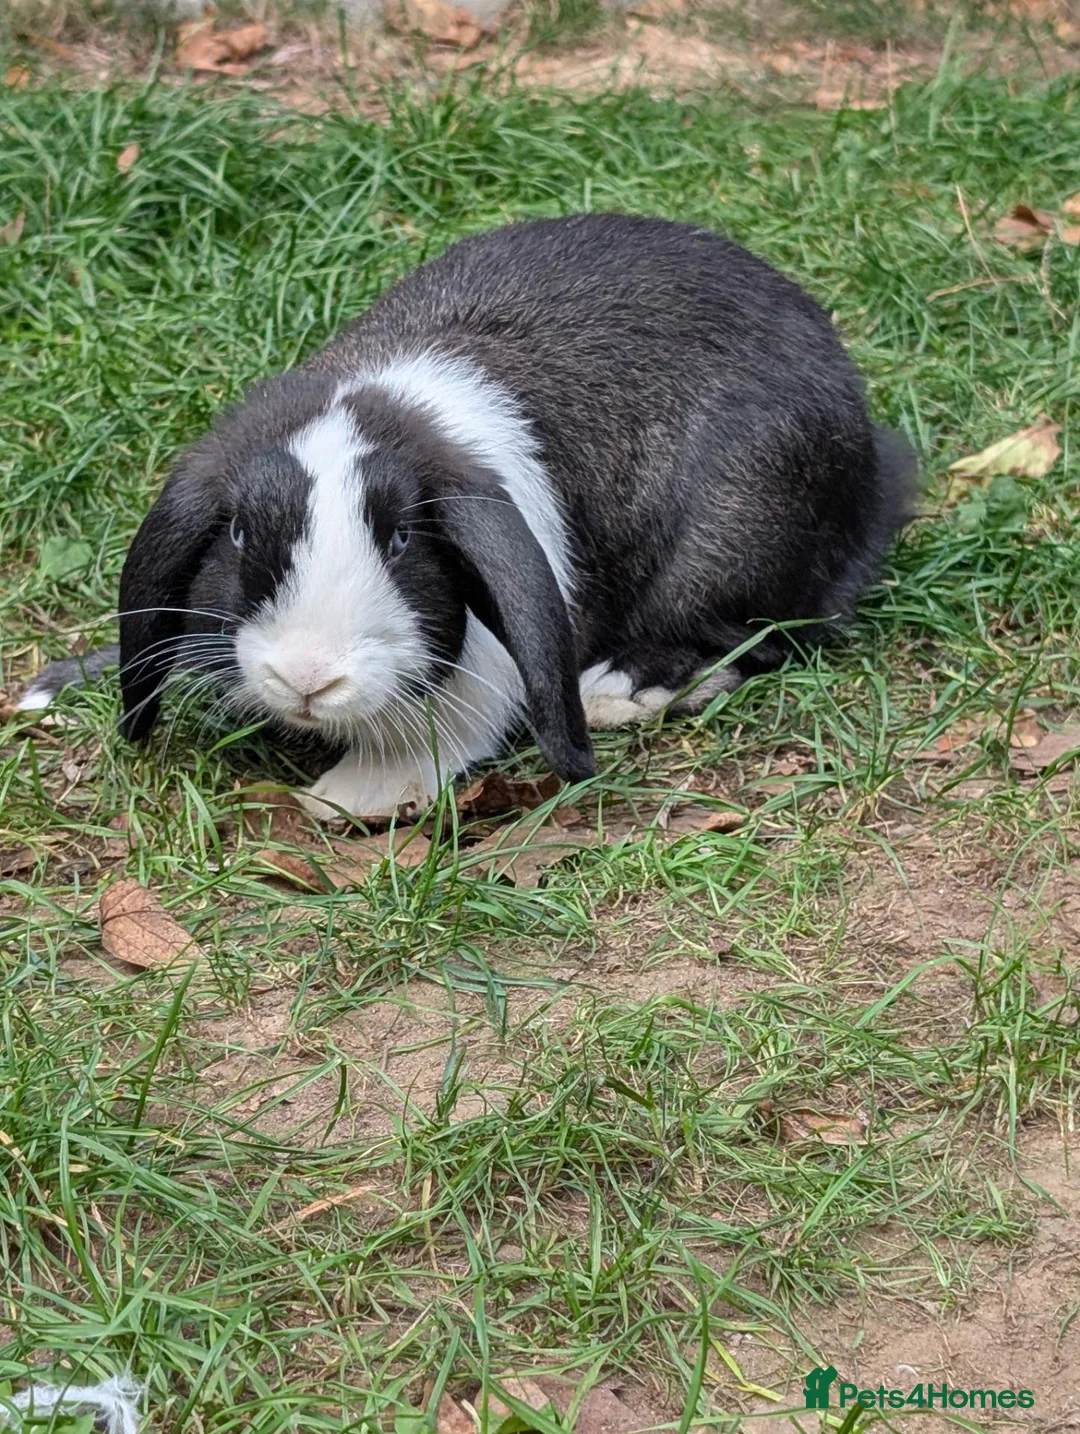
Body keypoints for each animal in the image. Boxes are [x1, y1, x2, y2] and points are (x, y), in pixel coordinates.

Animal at [19, 213, 917, 820]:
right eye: (239, 533)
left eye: (401, 538)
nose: (307, 676)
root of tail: (876, 463)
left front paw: (352, 795)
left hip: (736, 536)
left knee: (750, 635)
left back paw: (617, 689)